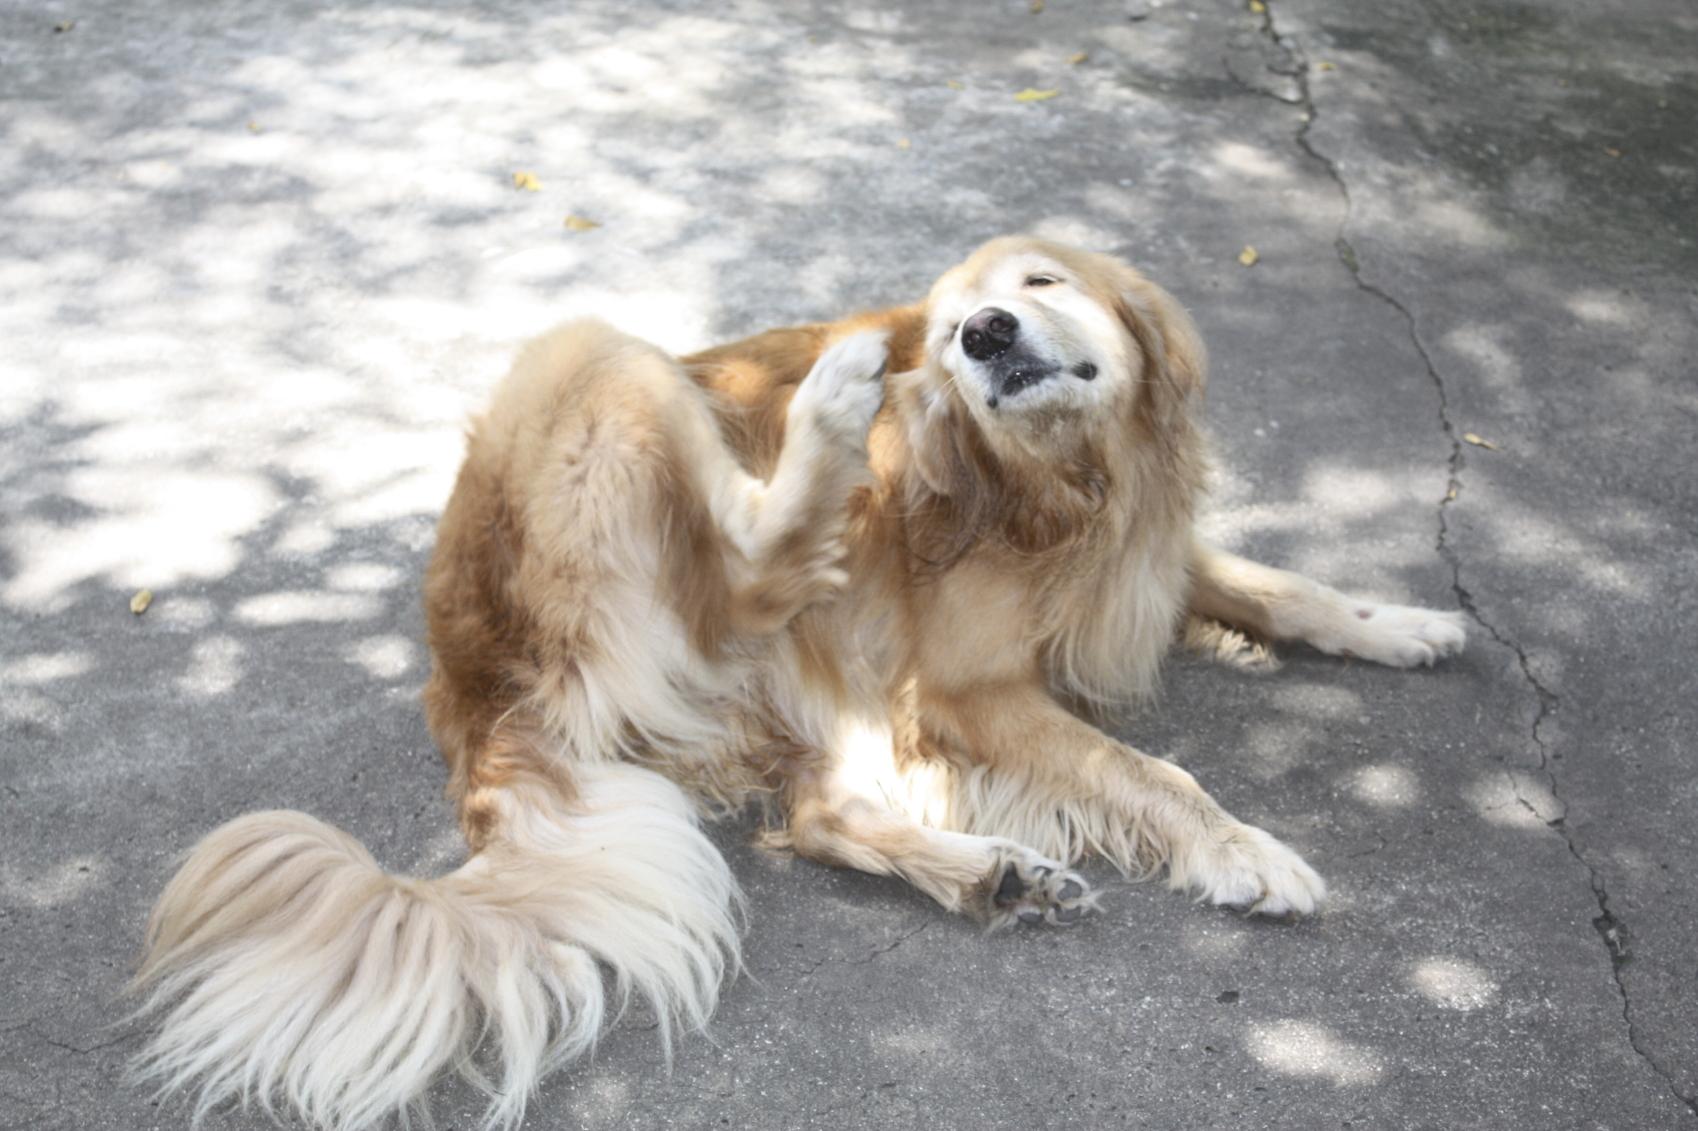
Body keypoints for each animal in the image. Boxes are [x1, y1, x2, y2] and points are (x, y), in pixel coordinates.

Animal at [132, 237, 1467, 1127]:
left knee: (822, 814)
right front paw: (1243, 850)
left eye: (1039, 283)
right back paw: (828, 407)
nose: (979, 337)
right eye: (955, 328)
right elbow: (1149, 770)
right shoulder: (969, 688)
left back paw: (992, 875)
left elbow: (1283, 585)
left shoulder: (1144, 563)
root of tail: (467, 684)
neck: (1062, 486)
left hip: (819, 675)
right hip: (601, 370)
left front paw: (1402, 622)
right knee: (748, 575)